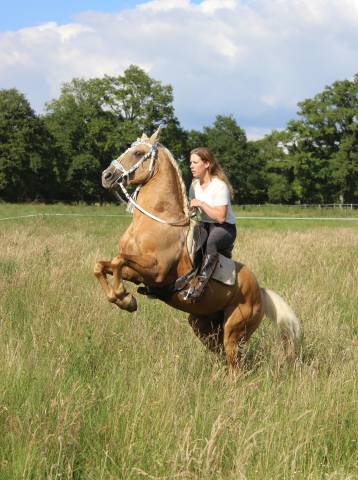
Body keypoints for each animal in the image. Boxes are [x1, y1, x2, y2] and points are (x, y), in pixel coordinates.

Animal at [93, 129, 300, 370]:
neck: (156, 221)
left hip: (234, 331)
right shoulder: (134, 273)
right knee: (226, 358)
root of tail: (260, 291)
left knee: (237, 365)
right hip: (204, 326)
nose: (106, 176)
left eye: (137, 153)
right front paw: (123, 298)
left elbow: (118, 260)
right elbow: (103, 265)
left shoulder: (156, 271)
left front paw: (125, 299)